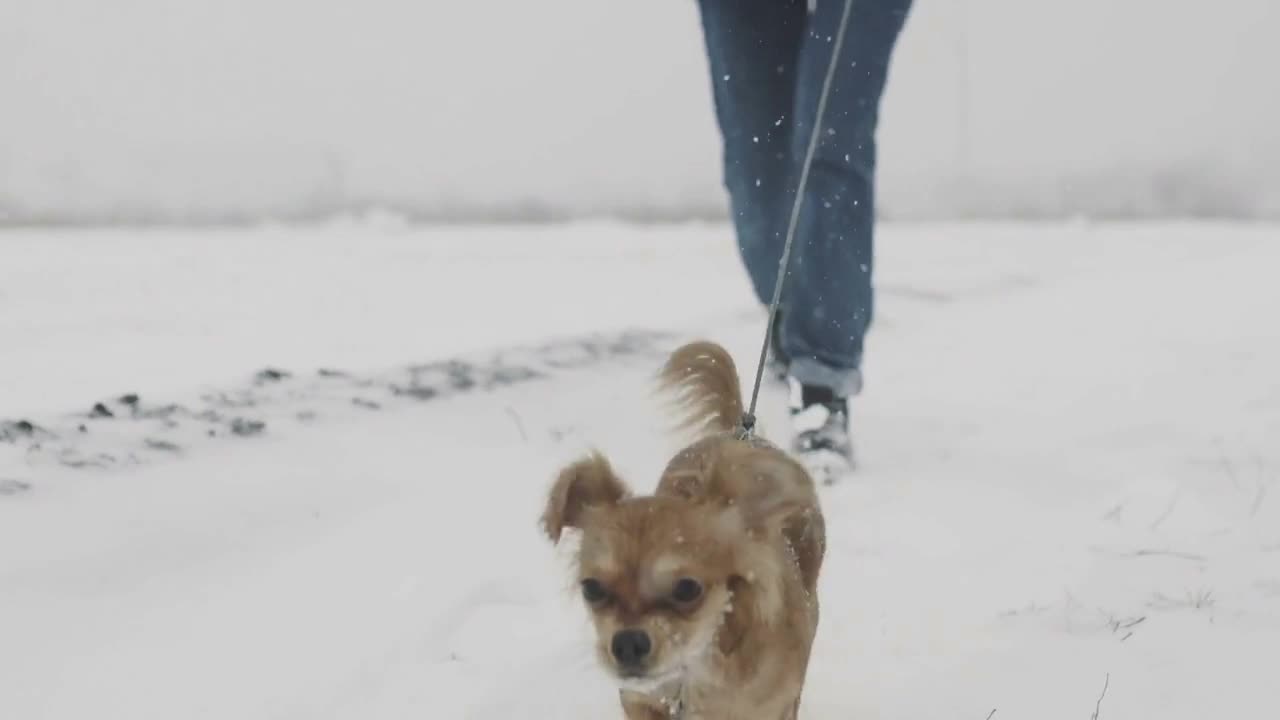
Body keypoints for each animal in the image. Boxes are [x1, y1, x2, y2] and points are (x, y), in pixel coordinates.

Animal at [542, 340, 829, 717]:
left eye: (687, 588)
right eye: (591, 588)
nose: (627, 643)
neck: (692, 671)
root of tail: (740, 433)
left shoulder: (769, 707)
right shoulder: (641, 700)